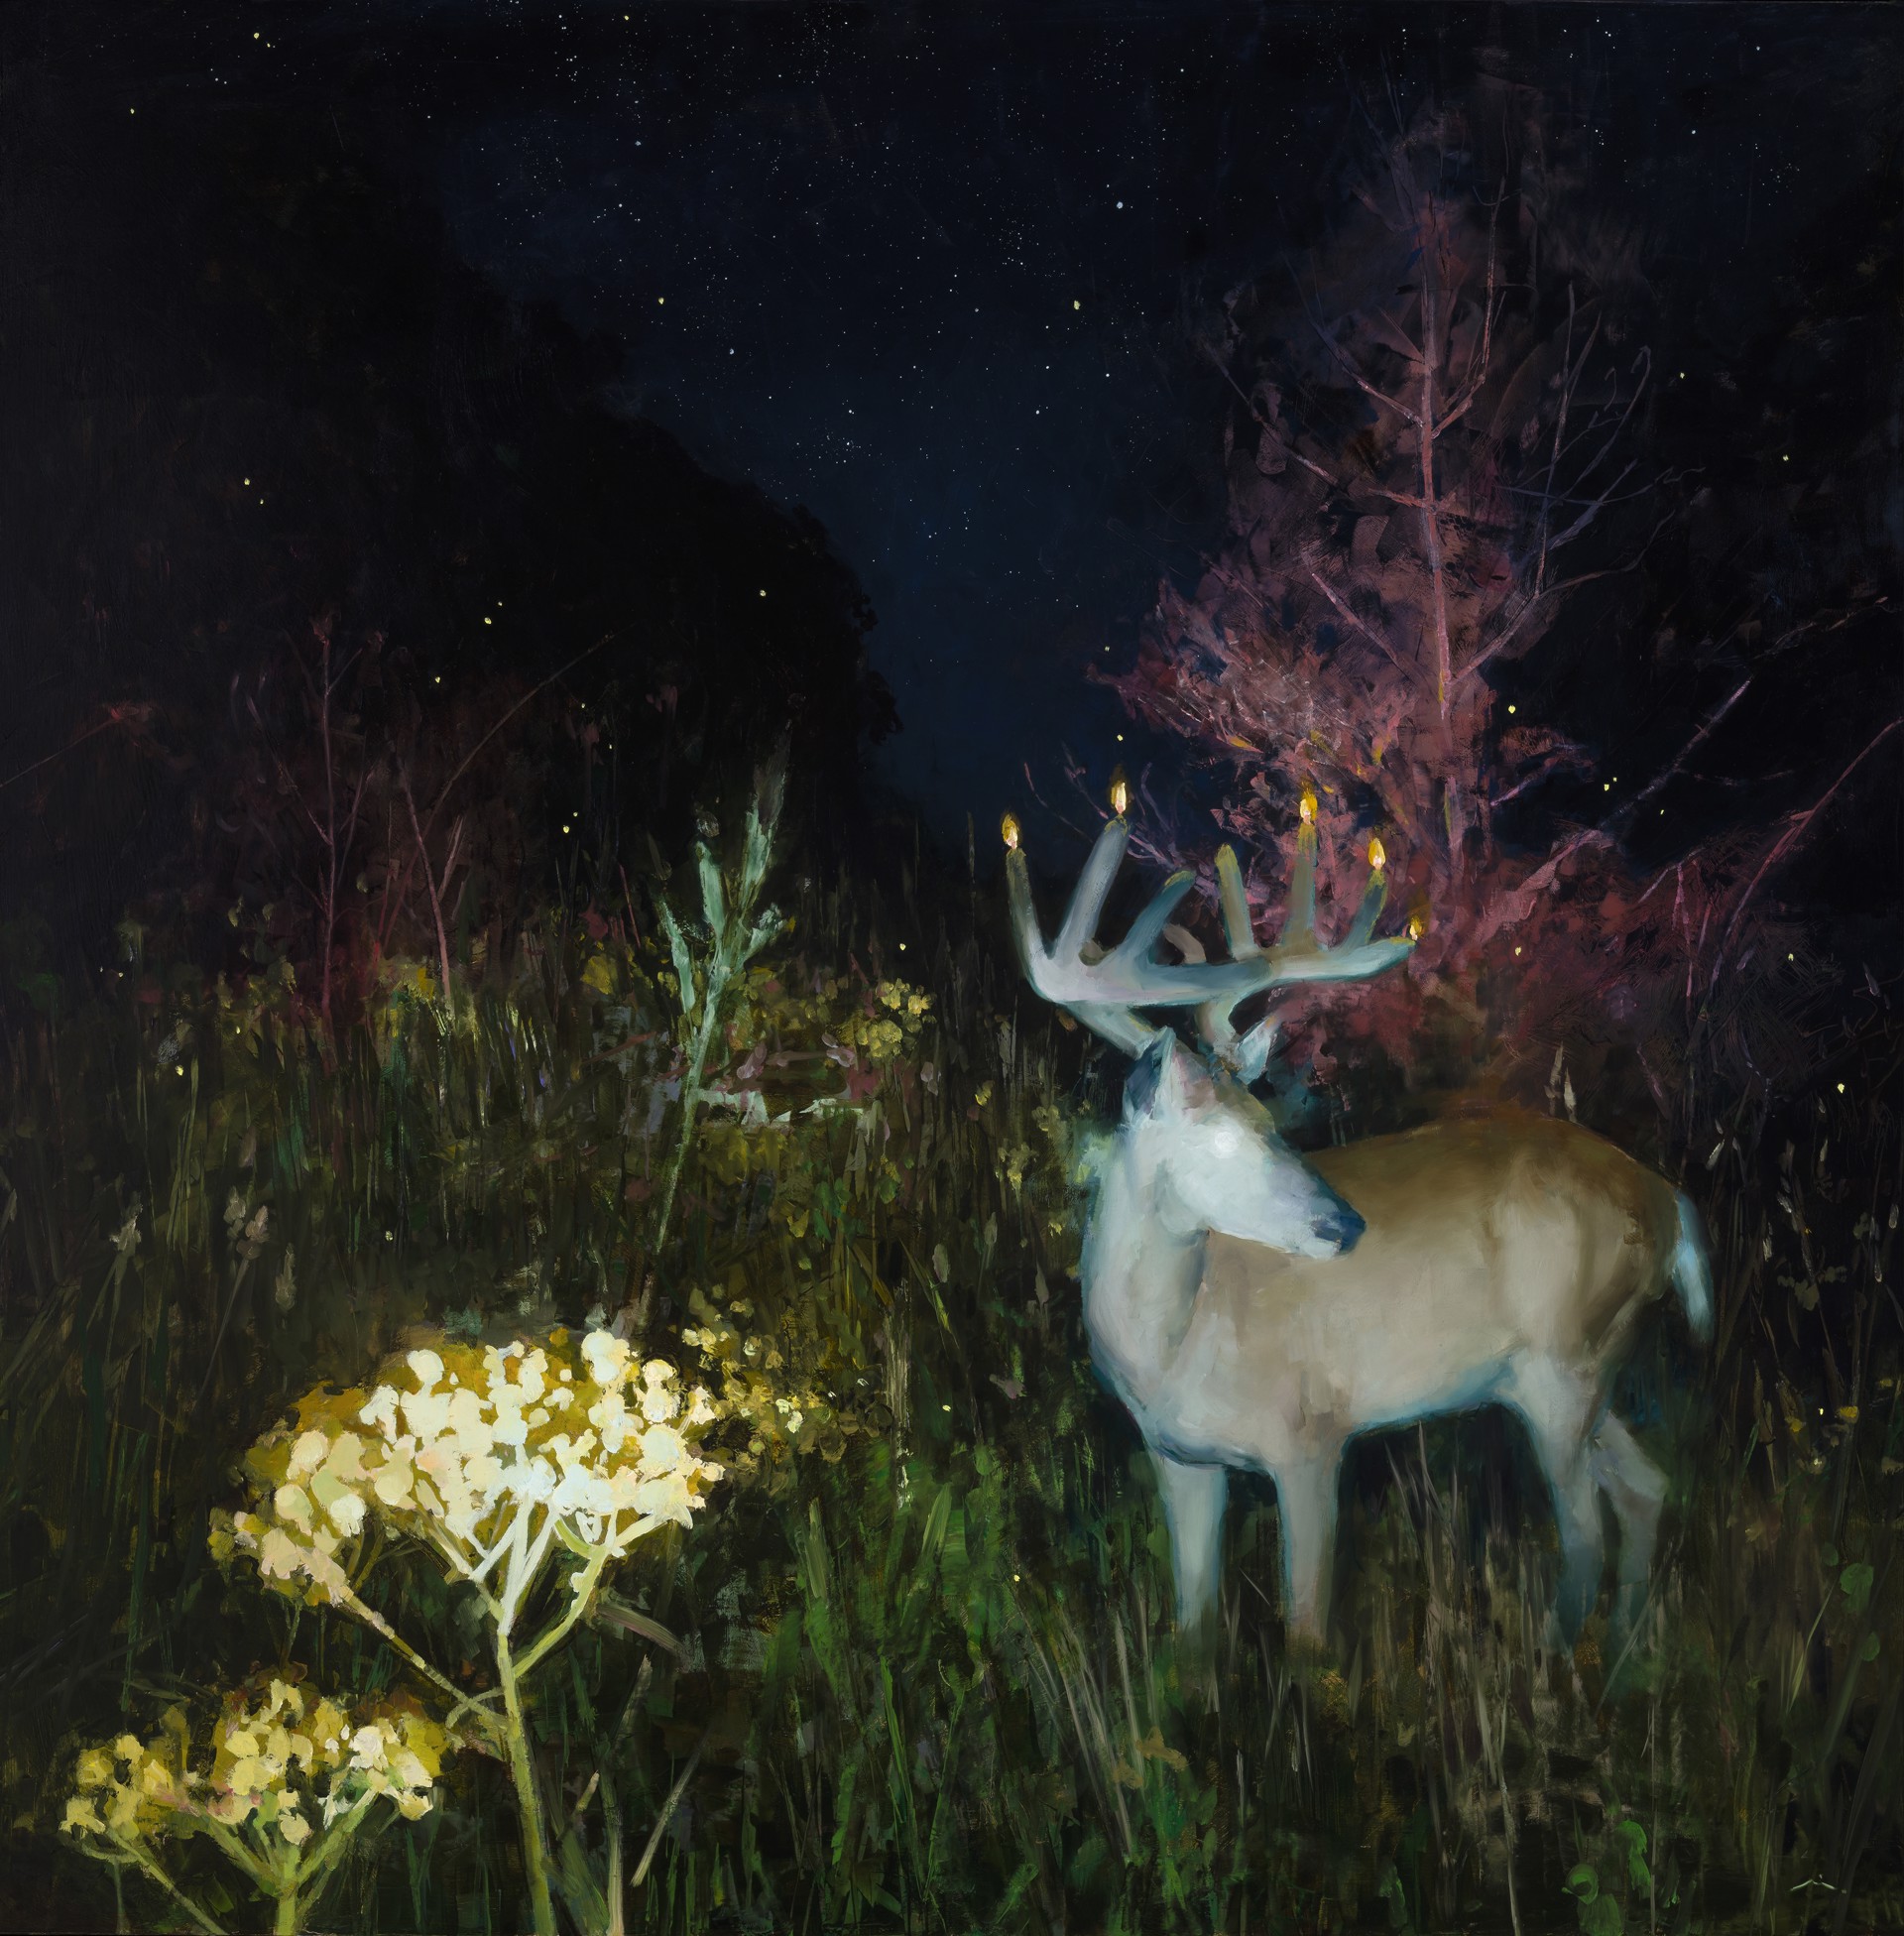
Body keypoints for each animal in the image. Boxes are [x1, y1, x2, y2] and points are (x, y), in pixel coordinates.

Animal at [1003, 780, 1713, 1649]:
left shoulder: (1312, 1436)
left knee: (1583, 1533)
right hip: (1573, 1371)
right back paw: (1621, 1655)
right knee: (1647, 1486)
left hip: (1567, 1363)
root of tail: (1669, 1201)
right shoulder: (1181, 1459)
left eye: (1269, 1119)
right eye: (1217, 1132)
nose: (1343, 1224)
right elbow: (1193, 1628)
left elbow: (1308, 1627)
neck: (1170, 1346)